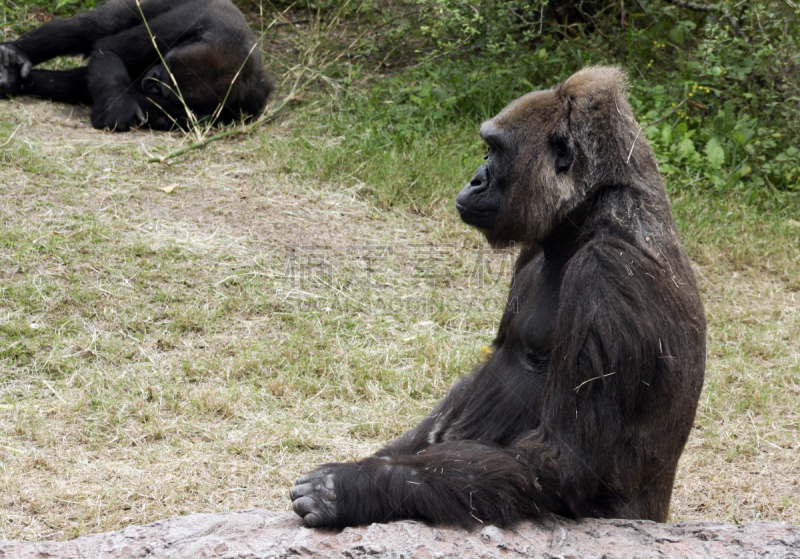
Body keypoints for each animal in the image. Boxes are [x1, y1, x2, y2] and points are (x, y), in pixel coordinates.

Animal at [0, 0, 274, 131]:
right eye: (163, 66)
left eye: (163, 89)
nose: (150, 80)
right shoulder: (182, 24)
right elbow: (109, 47)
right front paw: (116, 111)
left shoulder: (250, 105)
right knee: (95, 26)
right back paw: (16, 54)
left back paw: (17, 80)